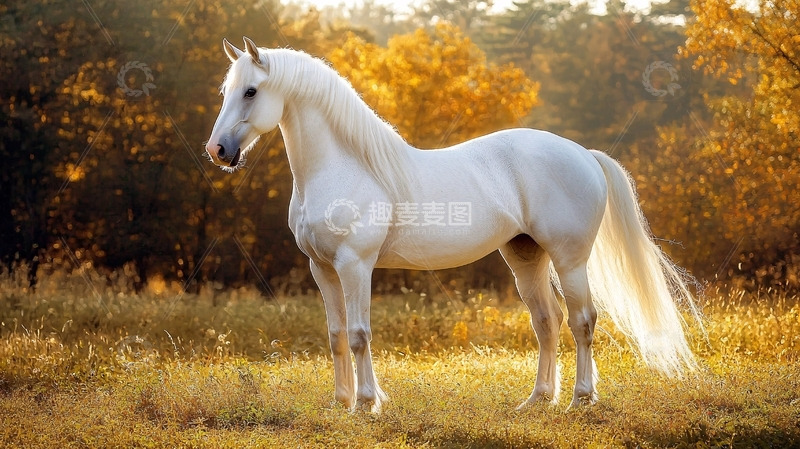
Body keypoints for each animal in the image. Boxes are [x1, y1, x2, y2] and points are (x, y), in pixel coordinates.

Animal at [205, 37, 701, 412]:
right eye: (226, 90)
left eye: (251, 92)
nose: (218, 151)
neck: (344, 166)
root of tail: (584, 154)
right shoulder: (322, 269)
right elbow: (337, 336)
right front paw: (341, 402)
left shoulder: (355, 266)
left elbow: (361, 335)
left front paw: (366, 403)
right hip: (526, 257)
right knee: (547, 321)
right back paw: (537, 400)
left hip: (569, 259)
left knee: (582, 321)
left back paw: (581, 398)